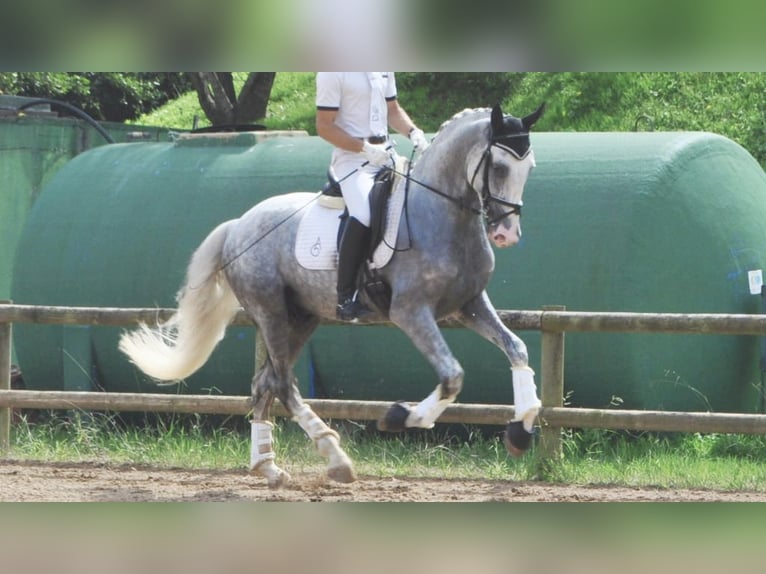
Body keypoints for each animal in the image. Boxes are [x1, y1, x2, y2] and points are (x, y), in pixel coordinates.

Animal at [121, 102, 544, 486]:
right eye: (500, 167)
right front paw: (400, 416)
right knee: (283, 384)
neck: (441, 213)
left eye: (530, 168)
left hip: (302, 318)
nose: (507, 234)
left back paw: (267, 467)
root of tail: (238, 225)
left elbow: (518, 349)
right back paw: (335, 458)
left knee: (264, 384)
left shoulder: (469, 305)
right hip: (270, 312)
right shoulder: (411, 312)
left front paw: (520, 431)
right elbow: (453, 376)